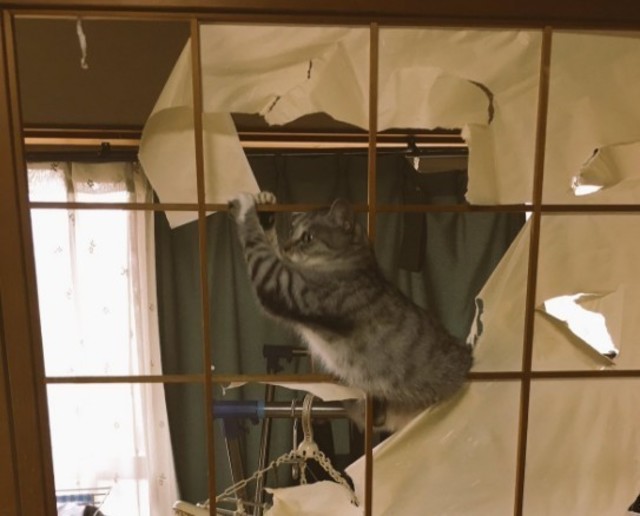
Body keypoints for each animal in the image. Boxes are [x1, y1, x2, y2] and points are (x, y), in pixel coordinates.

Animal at [229, 191, 473, 432]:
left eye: (308, 237)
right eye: (290, 233)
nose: (288, 246)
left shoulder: (282, 285)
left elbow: (259, 247)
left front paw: (245, 205)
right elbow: (269, 244)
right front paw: (265, 206)